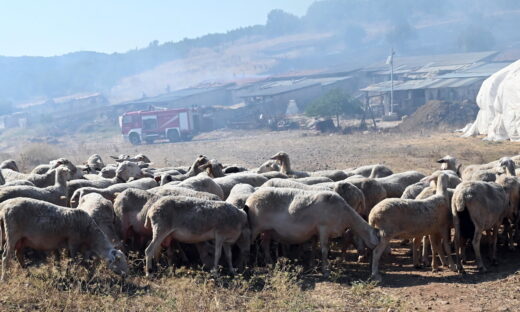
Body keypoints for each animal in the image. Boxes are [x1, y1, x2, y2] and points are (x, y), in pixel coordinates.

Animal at [0, 197, 129, 280]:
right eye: (119, 260)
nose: (127, 275)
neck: (89, 234)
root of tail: (4, 206)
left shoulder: (79, 247)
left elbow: (83, 261)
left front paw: (90, 274)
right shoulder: (73, 242)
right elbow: (72, 260)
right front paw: (69, 276)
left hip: (21, 239)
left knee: (19, 254)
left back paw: (27, 272)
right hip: (12, 234)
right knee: (6, 257)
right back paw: (5, 278)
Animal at [244, 186, 378, 274]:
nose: (368, 257)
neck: (345, 215)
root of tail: (249, 199)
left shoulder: (315, 231)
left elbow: (314, 247)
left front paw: (312, 264)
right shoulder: (324, 228)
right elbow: (324, 249)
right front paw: (325, 270)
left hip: (267, 230)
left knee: (265, 245)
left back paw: (270, 263)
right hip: (255, 227)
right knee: (249, 244)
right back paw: (249, 266)